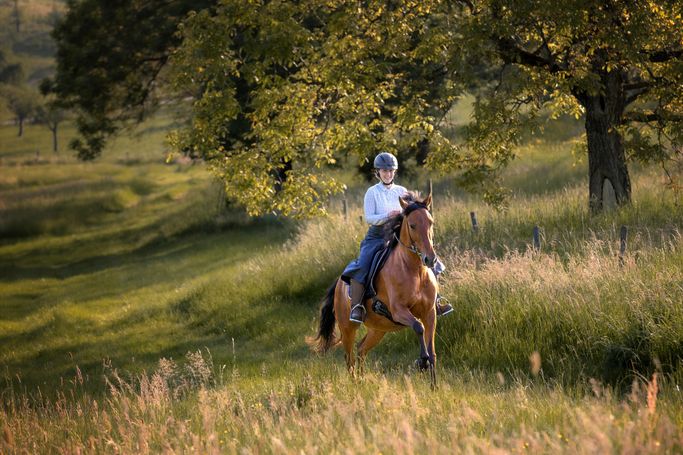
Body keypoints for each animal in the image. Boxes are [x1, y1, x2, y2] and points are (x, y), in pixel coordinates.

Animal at [310, 191, 438, 386]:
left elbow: (432, 351)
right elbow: (418, 327)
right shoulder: (398, 311)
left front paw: (434, 386)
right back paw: (354, 384)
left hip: (378, 329)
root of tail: (339, 282)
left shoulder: (430, 313)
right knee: (349, 357)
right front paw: (421, 361)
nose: (430, 259)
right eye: (412, 225)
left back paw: (362, 381)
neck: (414, 271)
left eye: (431, 222)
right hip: (348, 328)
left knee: (361, 349)